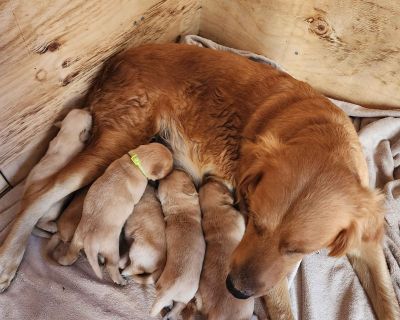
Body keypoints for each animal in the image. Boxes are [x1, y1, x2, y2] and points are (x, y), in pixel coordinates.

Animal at [55, 143, 172, 284]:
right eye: (168, 169)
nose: (172, 171)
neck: (135, 162)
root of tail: (89, 240)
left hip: (76, 240)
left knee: (72, 255)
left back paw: (62, 260)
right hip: (112, 250)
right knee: (112, 266)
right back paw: (120, 280)